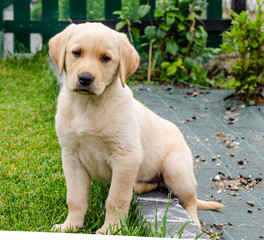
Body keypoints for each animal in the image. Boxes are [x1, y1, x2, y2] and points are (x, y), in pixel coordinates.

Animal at [49, 23, 223, 234]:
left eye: (106, 58)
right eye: (76, 53)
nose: (85, 79)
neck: (87, 106)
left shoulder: (126, 157)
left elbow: (115, 199)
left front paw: (111, 229)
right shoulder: (71, 156)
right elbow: (75, 198)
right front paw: (70, 226)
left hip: (176, 169)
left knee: (190, 200)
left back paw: (194, 222)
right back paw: (138, 186)